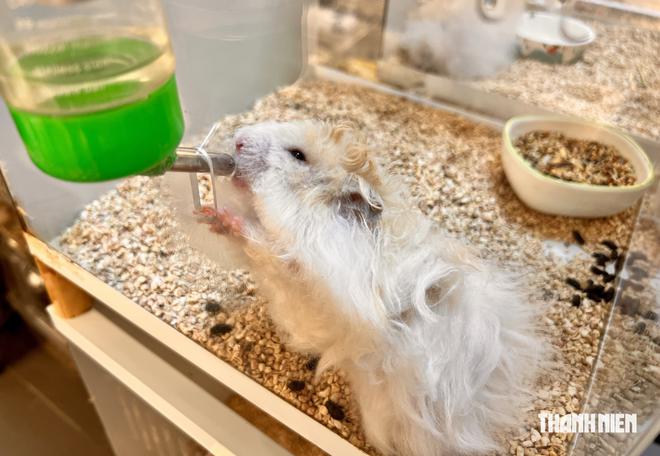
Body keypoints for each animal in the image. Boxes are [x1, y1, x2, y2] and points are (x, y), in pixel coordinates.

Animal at [203, 120, 544, 456]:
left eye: (297, 154)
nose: (238, 140)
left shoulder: (311, 264)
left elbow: (265, 245)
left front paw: (220, 216)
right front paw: (207, 215)